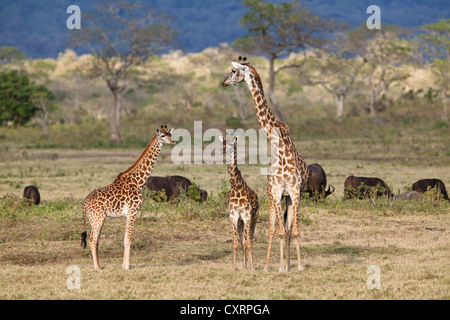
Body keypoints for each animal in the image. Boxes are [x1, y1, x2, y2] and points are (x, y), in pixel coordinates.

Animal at [80, 124, 175, 268]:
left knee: (96, 240)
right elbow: (128, 239)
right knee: (92, 239)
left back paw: (100, 265)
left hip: (97, 218)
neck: (138, 181)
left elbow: (125, 238)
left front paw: (123, 265)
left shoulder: (128, 214)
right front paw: (127, 266)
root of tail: (85, 202)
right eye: (163, 136)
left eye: (170, 134)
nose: (173, 141)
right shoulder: (132, 211)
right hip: (97, 217)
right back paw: (97, 267)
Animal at [220, 134, 258, 270]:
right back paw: (245, 265)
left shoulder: (247, 217)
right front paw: (234, 267)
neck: (236, 187)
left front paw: (252, 268)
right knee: (243, 242)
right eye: (223, 142)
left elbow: (248, 243)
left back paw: (250, 266)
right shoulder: (234, 216)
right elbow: (236, 243)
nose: (222, 150)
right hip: (241, 222)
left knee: (249, 240)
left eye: (232, 143)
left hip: (253, 219)